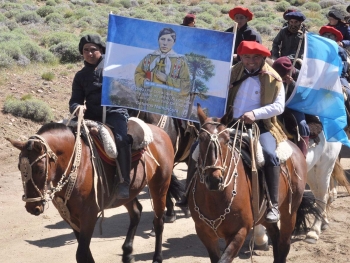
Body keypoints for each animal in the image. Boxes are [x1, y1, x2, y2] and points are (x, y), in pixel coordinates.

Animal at [7, 119, 178, 263]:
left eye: (40, 170)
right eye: (19, 168)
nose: (32, 207)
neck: (78, 165)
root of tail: (161, 132)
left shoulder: (89, 215)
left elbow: (82, 254)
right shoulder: (71, 217)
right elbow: (85, 254)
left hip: (160, 187)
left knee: (158, 222)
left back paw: (157, 257)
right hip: (127, 194)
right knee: (136, 212)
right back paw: (128, 253)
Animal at [189, 105, 314, 263]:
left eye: (226, 140)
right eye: (201, 139)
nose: (214, 180)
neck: (215, 198)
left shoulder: (240, 232)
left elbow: (224, 259)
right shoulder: (205, 234)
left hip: (290, 212)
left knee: (284, 243)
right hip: (263, 215)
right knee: (275, 235)